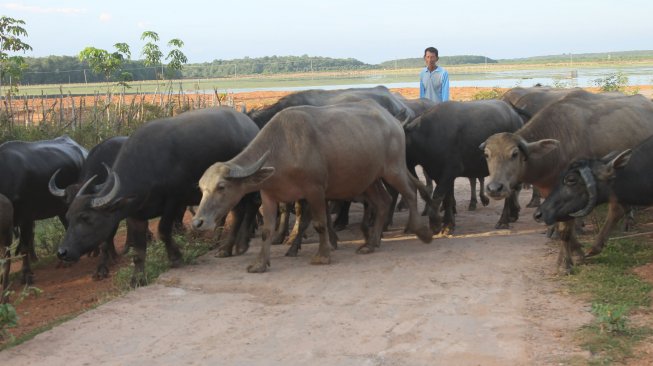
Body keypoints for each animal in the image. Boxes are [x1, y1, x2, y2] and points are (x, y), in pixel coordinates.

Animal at [56, 106, 260, 286]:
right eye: (68, 217)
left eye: (86, 218)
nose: (62, 252)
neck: (147, 165)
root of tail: (250, 125)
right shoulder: (135, 213)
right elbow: (138, 250)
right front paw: (137, 278)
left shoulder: (173, 201)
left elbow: (163, 230)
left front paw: (176, 257)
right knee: (240, 211)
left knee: (249, 207)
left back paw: (238, 245)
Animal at [192, 99, 432, 272]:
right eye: (202, 189)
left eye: (221, 187)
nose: (197, 222)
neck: (282, 150)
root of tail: (392, 121)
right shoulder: (269, 194)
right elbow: (267, 230)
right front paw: (260, 263)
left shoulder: (315, 190)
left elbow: (319, 223)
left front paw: (323, 255)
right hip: (369, 178)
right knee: (383, 202)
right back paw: (370, 244)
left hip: (394, 168)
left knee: (410, 191)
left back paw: (422, 231)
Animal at [404, 98, 524, 233]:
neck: (428, 136)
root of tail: (515, 114)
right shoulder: (441, 175)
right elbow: (448, 198)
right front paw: (448, 223)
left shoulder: (450, 171)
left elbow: (438, 196)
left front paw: (438, 224)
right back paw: (513, 214)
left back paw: (503, 221)